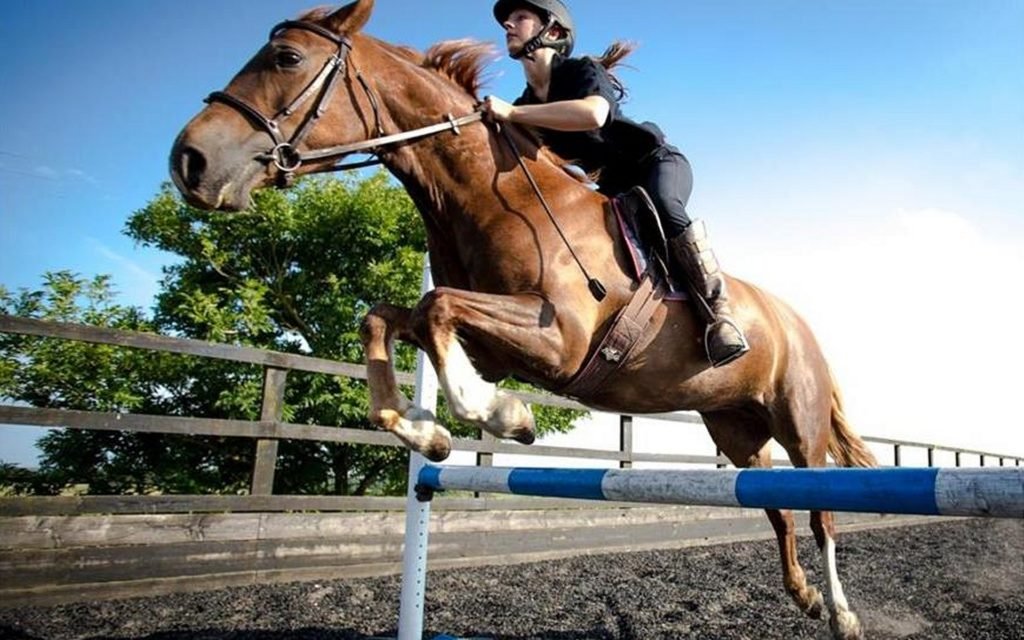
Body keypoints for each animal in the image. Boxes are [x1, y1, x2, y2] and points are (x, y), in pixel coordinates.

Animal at [170, 2, 877, 638]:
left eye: (286, 58)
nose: (188, 162)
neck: (487, 191)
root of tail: (801, 325)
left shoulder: (560, 341)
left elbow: (436, 309)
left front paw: (503, 415)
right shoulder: (494, 344)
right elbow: (392, 318)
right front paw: (424, 431)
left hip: (797, 421)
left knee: (821, 511)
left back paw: (841, 613)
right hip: (733, 426)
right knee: (777, 505)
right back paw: (803, 595)